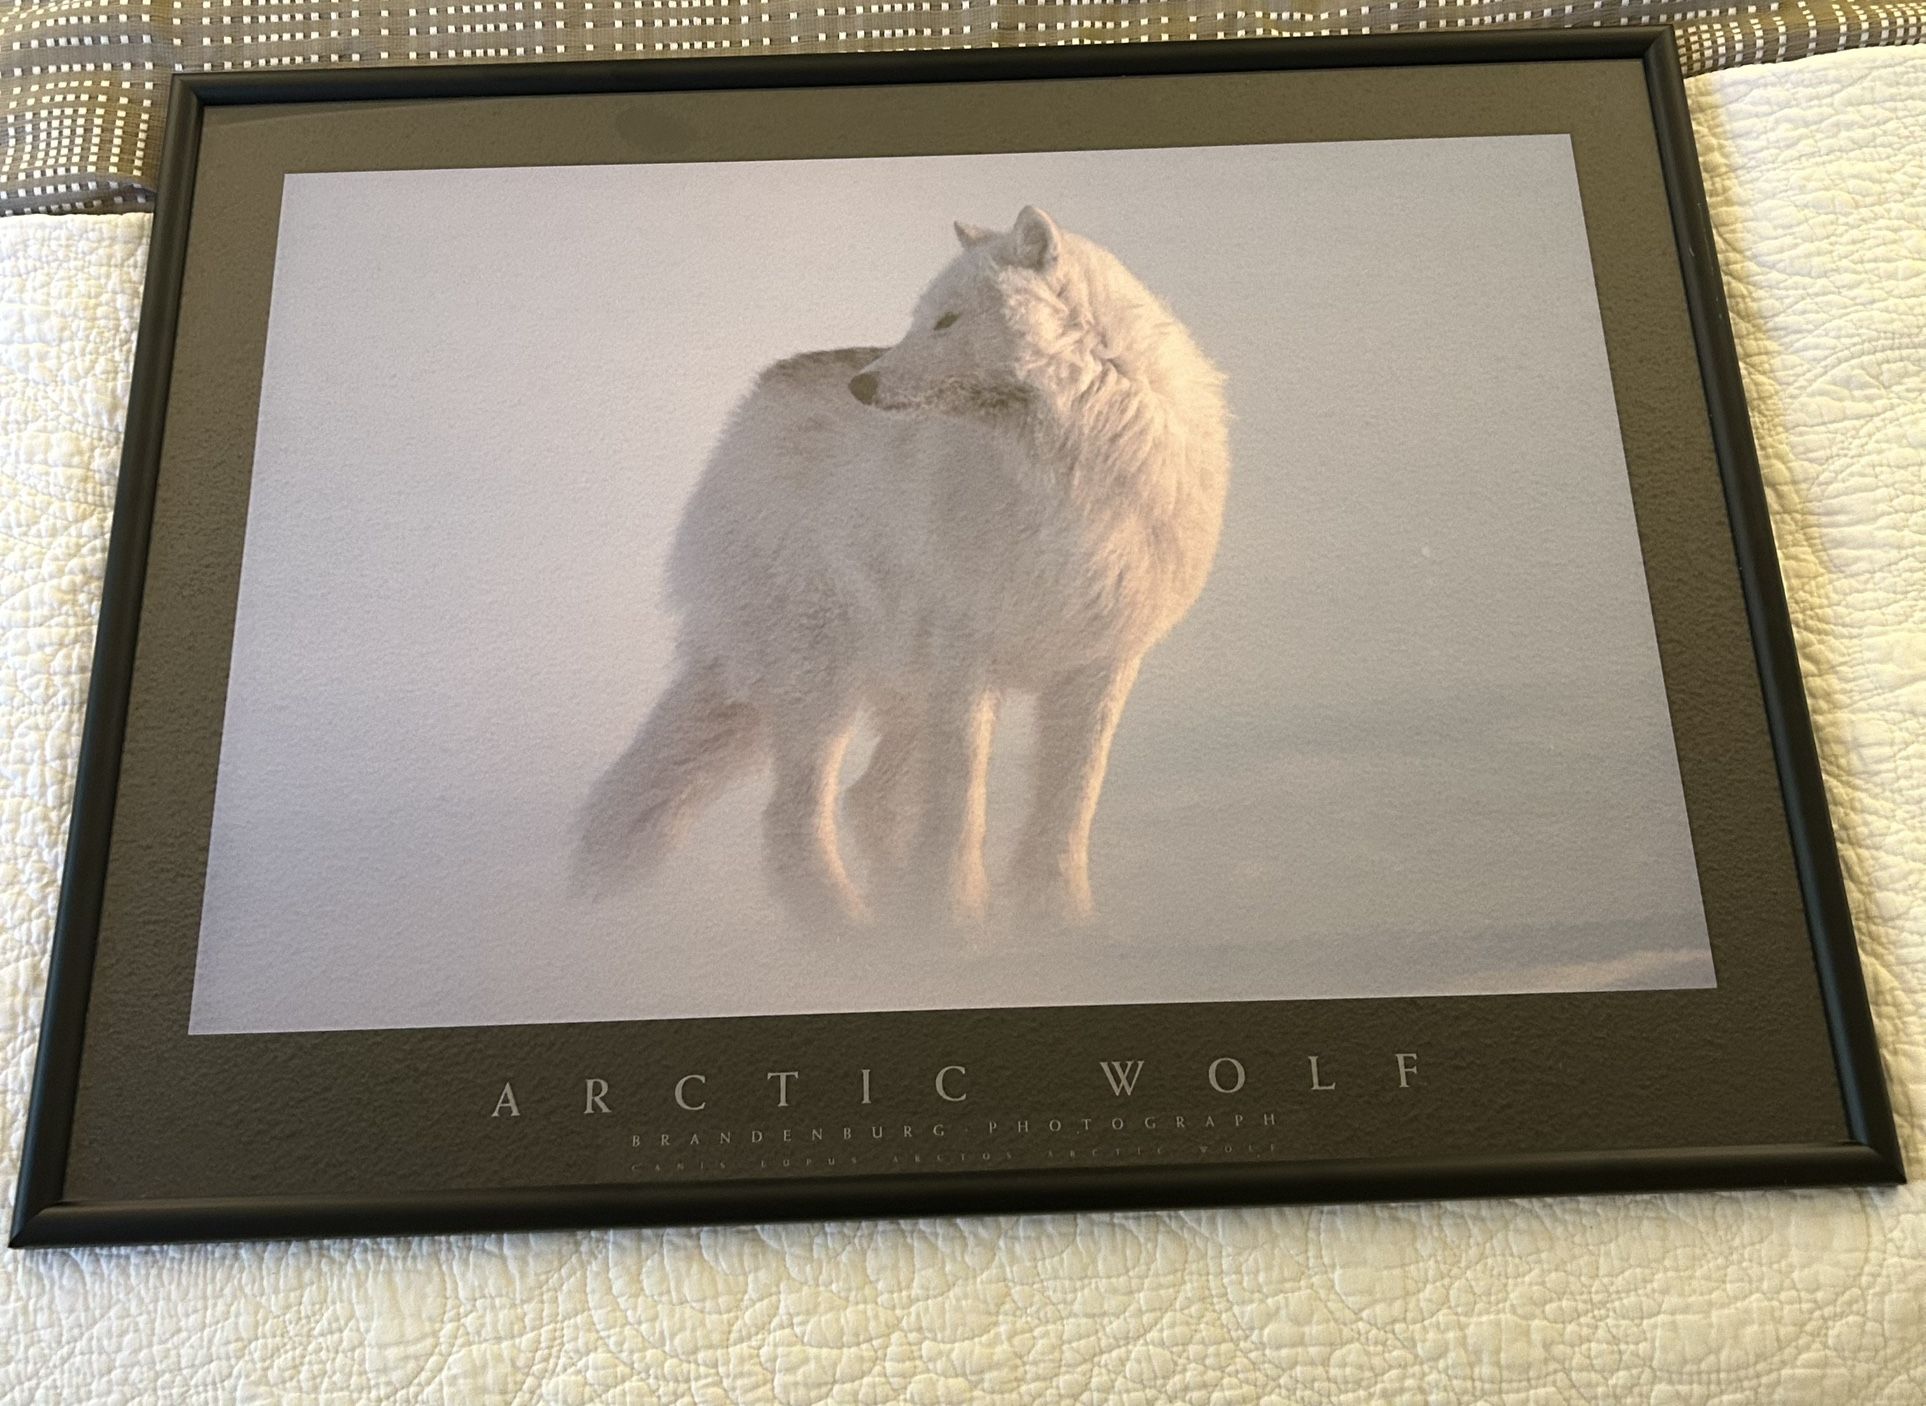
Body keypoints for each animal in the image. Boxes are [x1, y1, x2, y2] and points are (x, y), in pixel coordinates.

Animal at [579, 206, 1229, 932]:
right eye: (918, 318)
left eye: (947, 321)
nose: (861, 386)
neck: (1068, 472)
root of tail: (756, 397)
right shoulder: (967, 658)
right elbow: (959, 801)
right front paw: (956, 920)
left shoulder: (1102, 663)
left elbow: (1069, 801)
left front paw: (1058, 918)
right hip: (827, 681)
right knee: (794, 820)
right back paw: (853, 933)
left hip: (888, 690)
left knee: (864, 800)